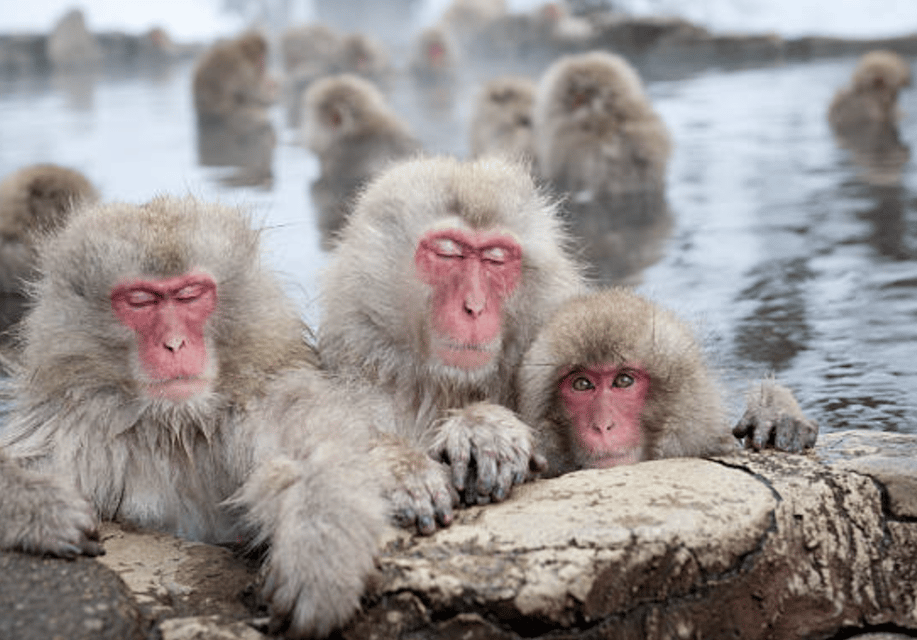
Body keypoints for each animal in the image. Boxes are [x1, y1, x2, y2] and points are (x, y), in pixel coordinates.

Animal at [0, 195, 388, 638]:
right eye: (141, 300)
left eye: (189, 294)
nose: (174, 343)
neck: (177, 424)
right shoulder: (74, 425)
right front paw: (39, 507)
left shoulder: (264, 402)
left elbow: (315, 452)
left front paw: (319, 556)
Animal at [319, 155, 586, 534]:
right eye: (448, 253)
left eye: (495, 258)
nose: (474, 306)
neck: (443, 386)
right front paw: (401, 469)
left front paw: (485, 428)